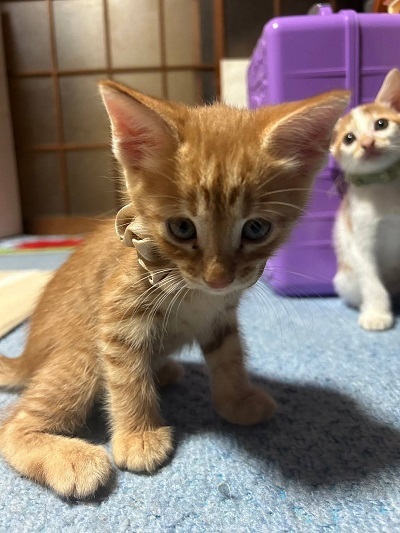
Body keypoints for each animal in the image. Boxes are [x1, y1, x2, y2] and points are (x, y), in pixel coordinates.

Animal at [0, 82, 348, 499]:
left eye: (256, 229)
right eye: (181, 228)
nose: (218, 278)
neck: (192, 288)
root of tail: (26, 355)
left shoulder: (221, 316)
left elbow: (229, 358)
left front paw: (236, 400)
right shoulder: (118, 317)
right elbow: (128, 377)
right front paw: (138, 436)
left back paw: (163, 369)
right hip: (81, 356)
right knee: (11, 425)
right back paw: (69, 457)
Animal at [331, 68, 400, 331]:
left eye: (381, 124)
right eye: (349, 138)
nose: (367, 143)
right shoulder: (360, 237)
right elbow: (371, 281)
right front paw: (376, 314)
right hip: (345, 278)